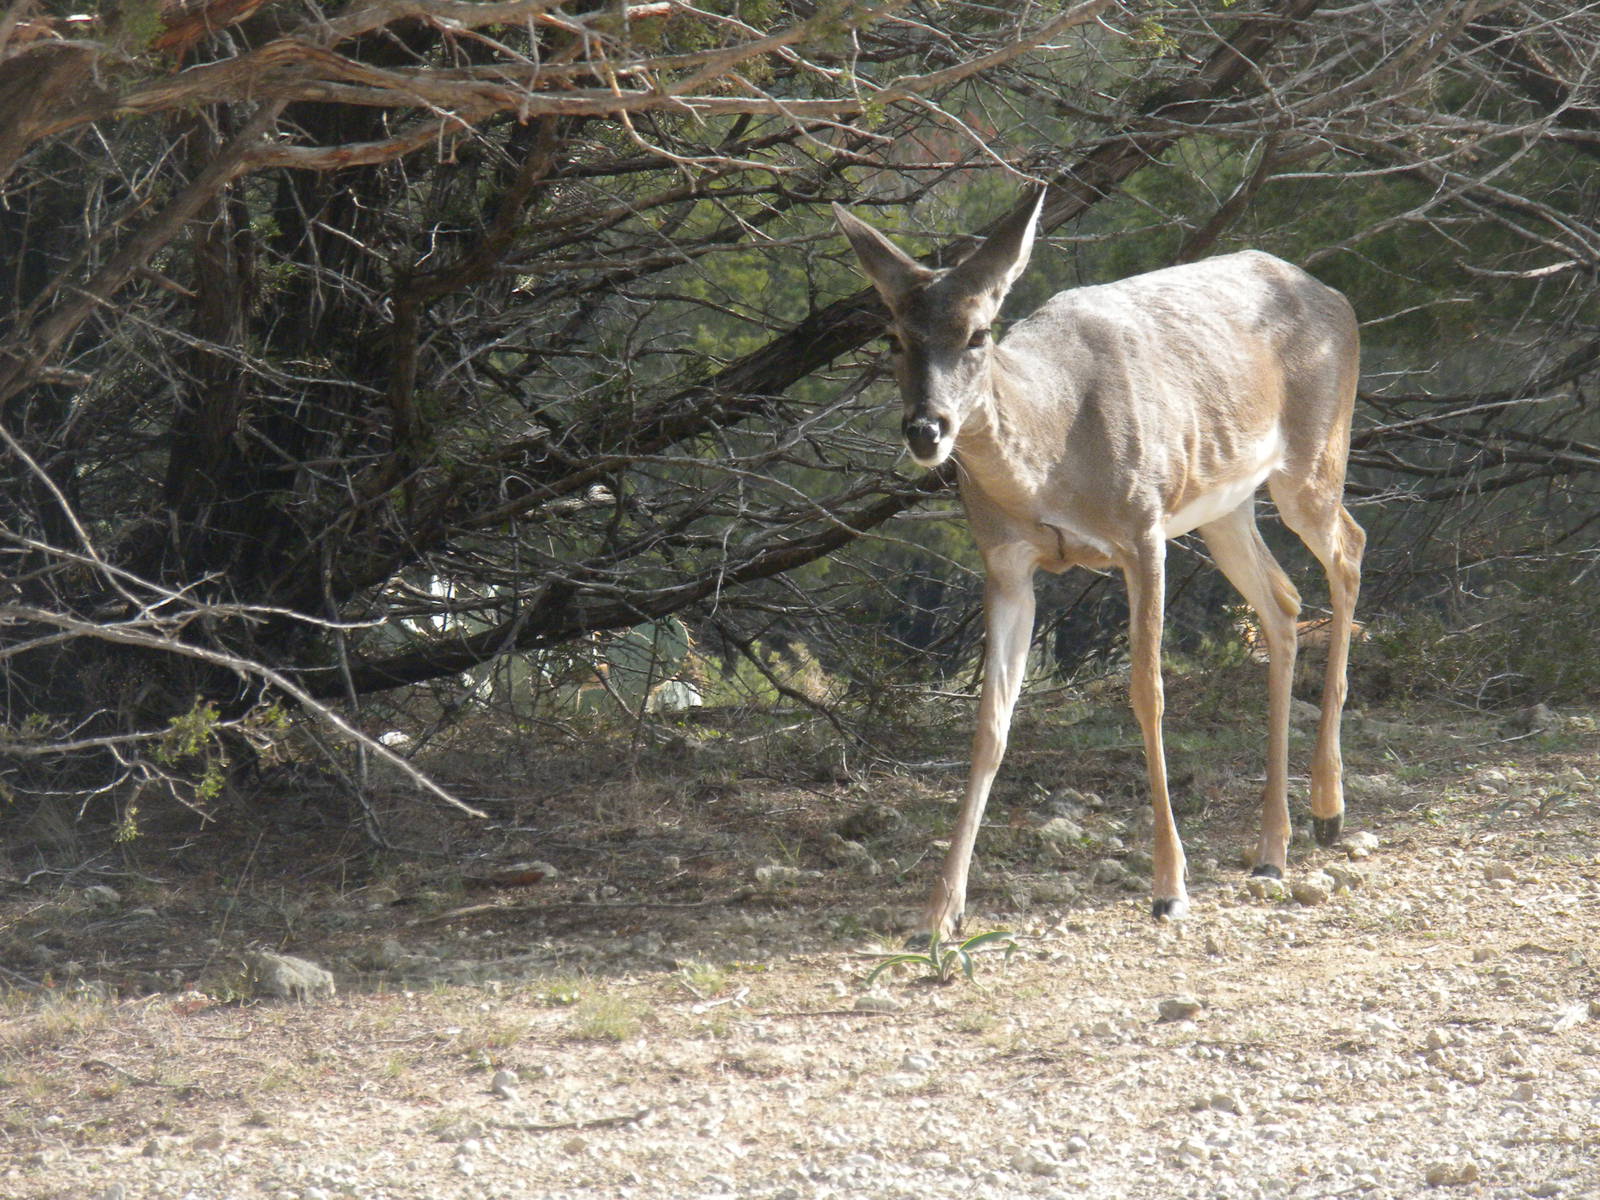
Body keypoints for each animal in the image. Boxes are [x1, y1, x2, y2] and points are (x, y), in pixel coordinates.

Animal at [834, 188, 1364, 940]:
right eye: (894, 338)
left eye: (978, 334)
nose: (925, 430)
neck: (1053, 457)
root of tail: (1336, 297)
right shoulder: (1005, 563)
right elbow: (990, 722)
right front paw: (938, 913)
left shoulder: (1143, 529)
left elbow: (1148, 694)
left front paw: (1169, 888)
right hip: (1223, 504)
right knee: (1285, 601)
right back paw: (1271, 851)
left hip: (1313, 459)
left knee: (1349, 551)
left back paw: (1328, 808)